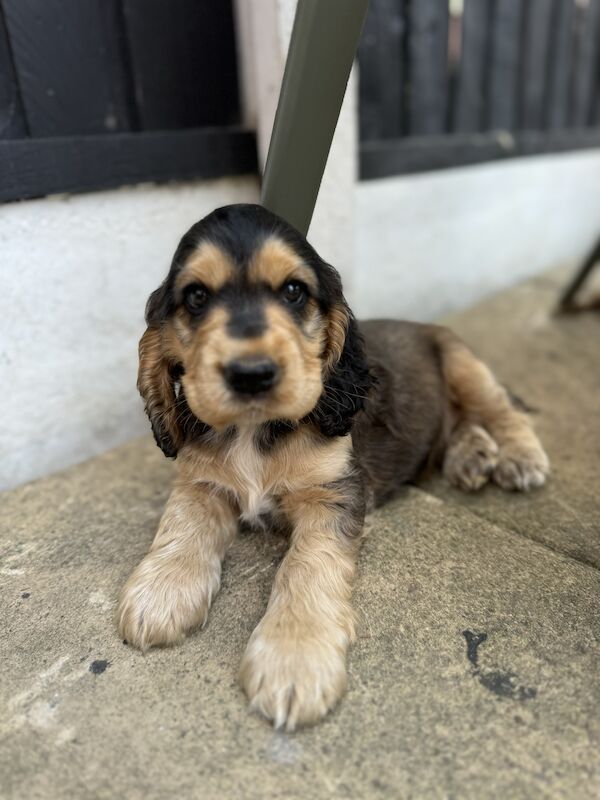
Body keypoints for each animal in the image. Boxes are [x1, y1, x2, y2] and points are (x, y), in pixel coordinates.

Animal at [117, 202, 548, 732]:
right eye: (196, 296)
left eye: (293, 291)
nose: (251, 374)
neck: (253, 431)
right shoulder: (201, 481)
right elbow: (181, 526)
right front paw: (159, 592)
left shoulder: (335, 493)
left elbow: (306, 566)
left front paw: (293, 660)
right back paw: (472, 455)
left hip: (463, 363)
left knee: (500, 410)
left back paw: (519, 457)